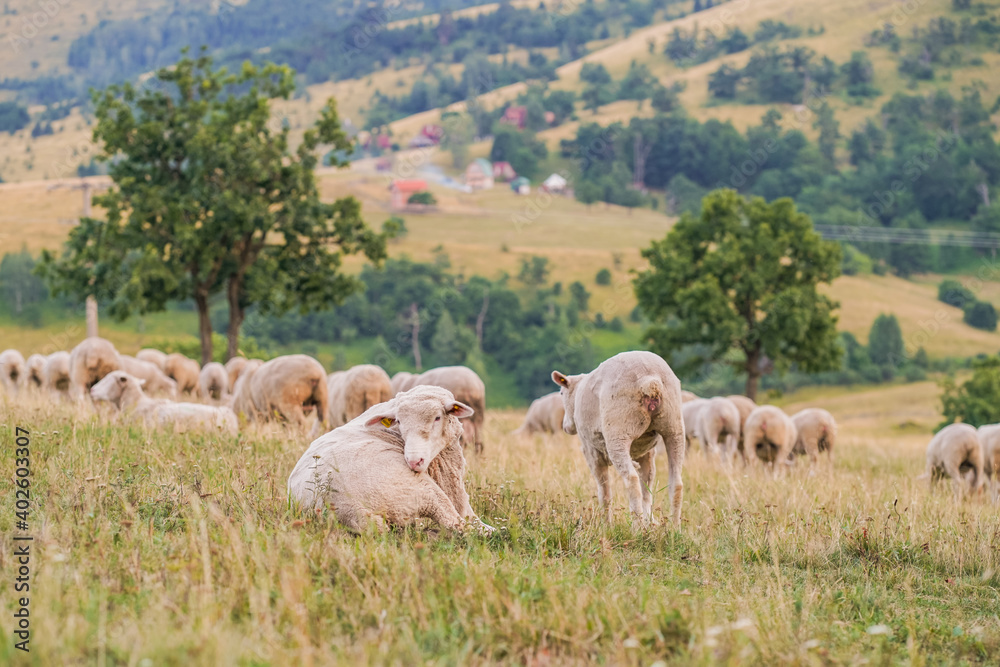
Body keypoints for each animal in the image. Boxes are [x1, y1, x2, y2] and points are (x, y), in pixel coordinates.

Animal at [288, 385, 493, 534]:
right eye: (399, 421)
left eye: (437, 417)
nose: (414, 461)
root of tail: (345, 506)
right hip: (415, 487)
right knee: (457, 523)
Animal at [552, 350, 685, 526]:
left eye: (561, 393)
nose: (566, 427)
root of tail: (650, 380)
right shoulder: (647, 452)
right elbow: (647, 485)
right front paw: (649, 521)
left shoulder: (590, 450)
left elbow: (604, 491)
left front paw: (606, 525)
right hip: (674, 427)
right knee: (676, 483)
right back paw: (674, 528)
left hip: (618, 432)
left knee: (632, 479)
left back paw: (637, 527)